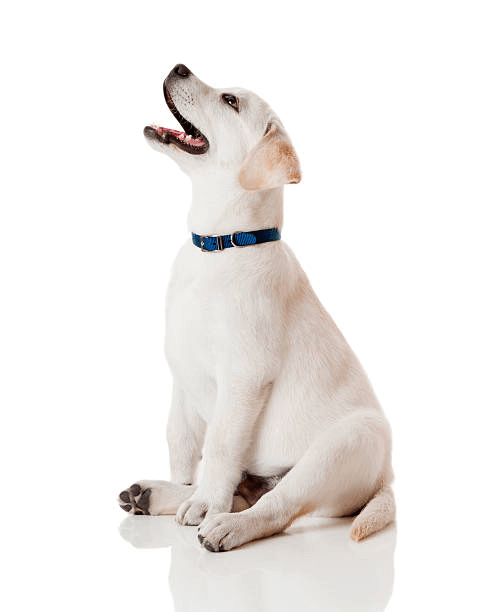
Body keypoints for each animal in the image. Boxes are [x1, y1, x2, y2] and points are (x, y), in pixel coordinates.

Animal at [120, 64, 396, 552]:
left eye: (230, 101)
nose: (178, 66)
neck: (221, 246)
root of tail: (386, 480)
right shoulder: (181, 374)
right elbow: (182, 440)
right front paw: (186, 489)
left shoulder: (244, 375)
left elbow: (220, 444)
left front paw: (205, 504)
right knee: (249, 490)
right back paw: (159, 494)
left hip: (345, 443)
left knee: (277, 507)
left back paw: (225, 524)